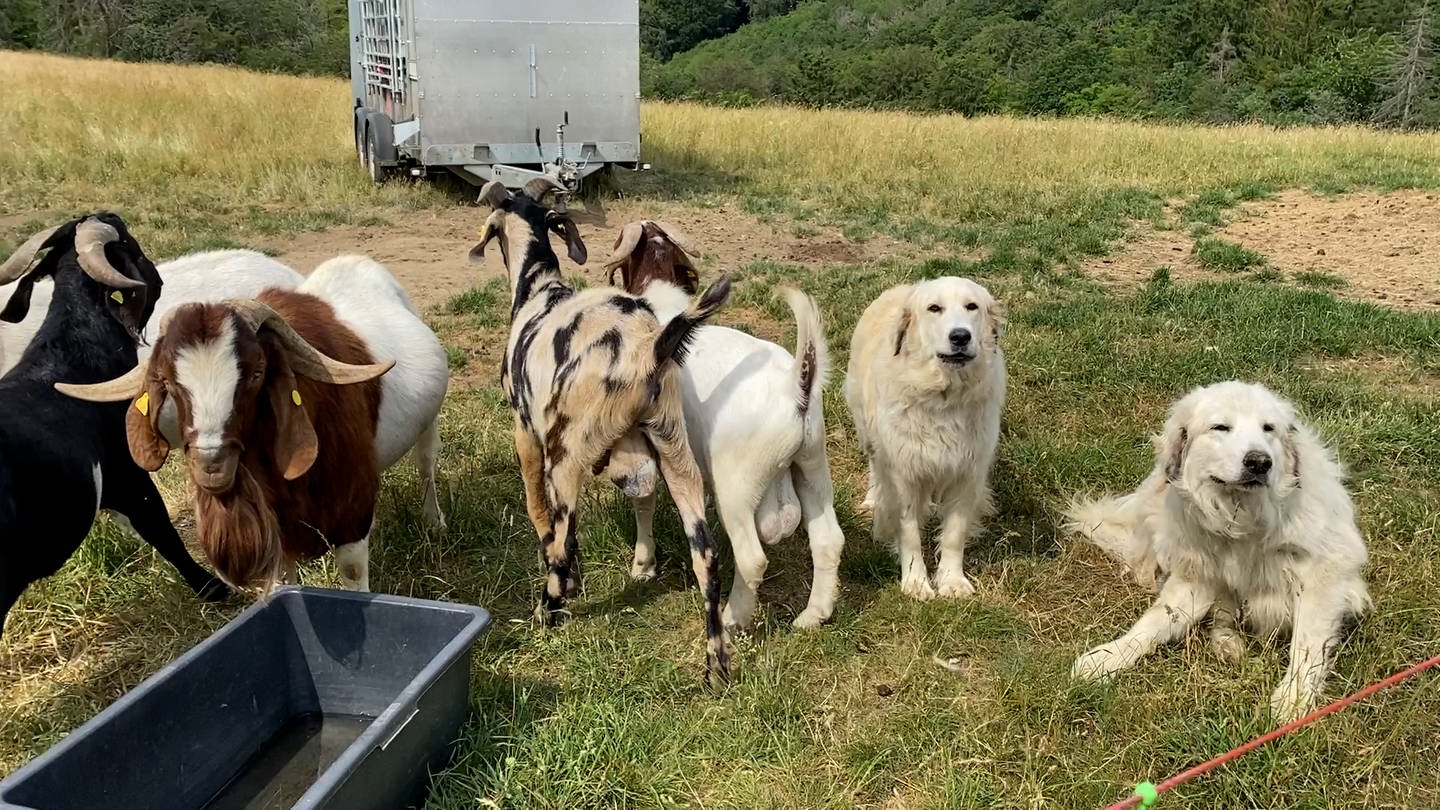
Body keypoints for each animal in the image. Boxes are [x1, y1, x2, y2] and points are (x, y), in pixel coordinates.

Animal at [475, 176, 737, 680]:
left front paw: (567, 586)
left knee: (563, 542)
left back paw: (545, 613)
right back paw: (716, 664)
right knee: (707, 555)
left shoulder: (525, 432)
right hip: (675, 453)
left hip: (566, 455)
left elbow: (540, 517)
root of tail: (647, 347)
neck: (539, 288)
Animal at [840, 276, 1002, 599]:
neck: (944, 395)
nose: (960, 337)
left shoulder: (968, 474)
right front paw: (915, 582)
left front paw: (952, 580)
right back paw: (873, 499)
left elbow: (954, 534)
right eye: (934, 308)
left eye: (972, 306)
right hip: (868, 434)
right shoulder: (904, 476)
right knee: (875, 467)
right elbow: (910, 533)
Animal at [1071, 380, 1370, 717]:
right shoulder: (1195, 577)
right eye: (1221, 427)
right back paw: (1226, 644)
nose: (1259, 462)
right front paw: (1107, 657)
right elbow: (1153, 622)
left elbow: (1307, 644)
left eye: (1268, 428)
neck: (1244, 518)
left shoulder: (1326, 573)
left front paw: (1293, 699)